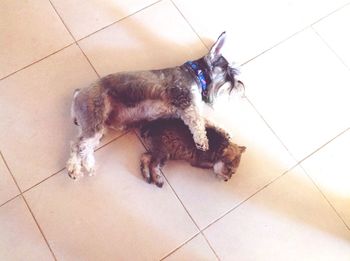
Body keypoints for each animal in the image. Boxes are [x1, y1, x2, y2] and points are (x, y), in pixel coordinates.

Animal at [67, 31, 243, 179]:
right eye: (228, 72)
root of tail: (78, 93)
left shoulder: (186, 109)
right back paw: (82, 167)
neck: (196, 74)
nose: (240, 87)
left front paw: (225, 131)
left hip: (96, 128)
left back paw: (79, 168)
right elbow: (198, 123)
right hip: (94, 122)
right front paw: (202, 142)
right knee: (80, 145)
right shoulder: (186, 102)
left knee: (81, 145)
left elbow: (206, 120)